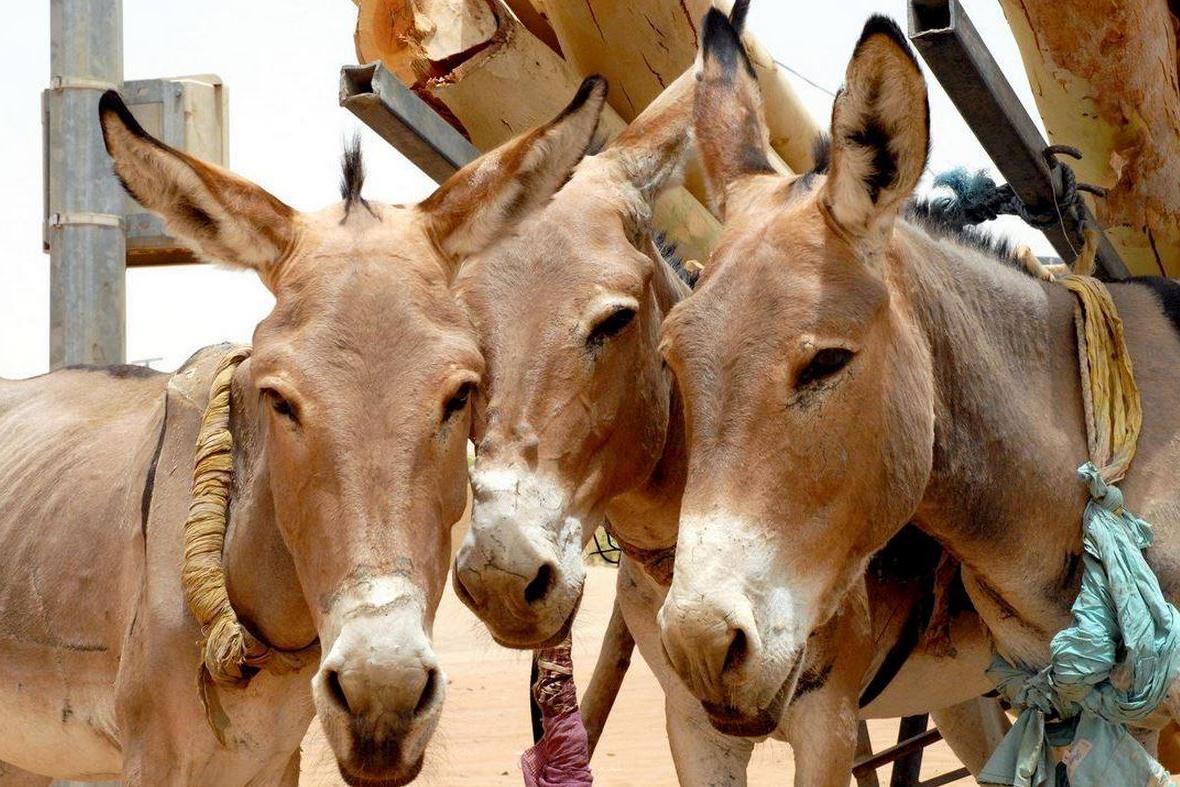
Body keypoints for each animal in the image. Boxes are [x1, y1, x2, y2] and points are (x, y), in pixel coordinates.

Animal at [450, 68, 1005, 784]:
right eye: (467, 339)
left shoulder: (827, 721)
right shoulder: (692, 723)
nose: (500, 575)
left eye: (617, 319)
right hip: (969, 693)